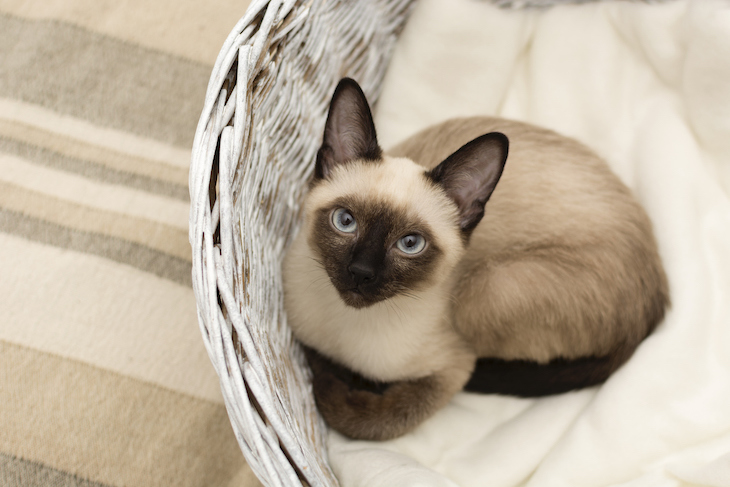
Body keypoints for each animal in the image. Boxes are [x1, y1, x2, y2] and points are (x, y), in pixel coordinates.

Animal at [282, 79, 668, 442]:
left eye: (410, 244)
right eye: (345, 221)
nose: (361, 273)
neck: (344, 333)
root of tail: (653, 311)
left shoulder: (452, 370)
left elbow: (370, 419)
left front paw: (345, 388)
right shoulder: (304, 335)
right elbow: (321, 365)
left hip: (487, 290)